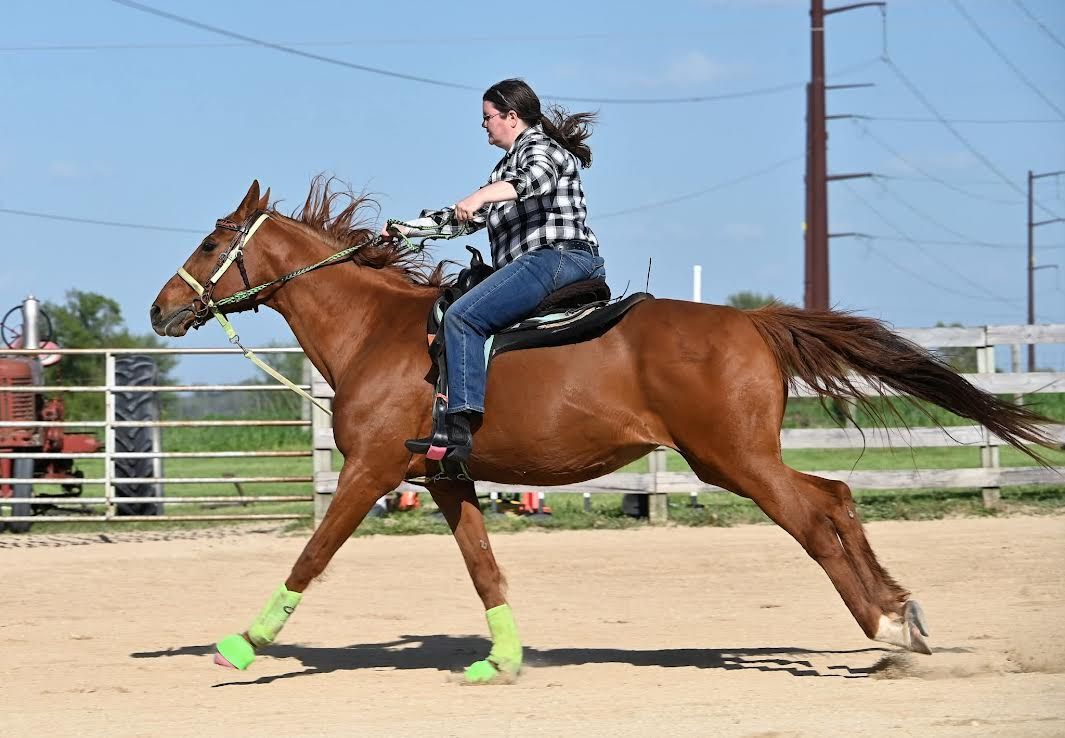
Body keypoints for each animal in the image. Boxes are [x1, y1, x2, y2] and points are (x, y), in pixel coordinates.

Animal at [150, 178, 1057, 684]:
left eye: (212, 239)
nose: (161, 308)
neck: (380, 333)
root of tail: (752, 324)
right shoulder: (445, 475)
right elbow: (484, 569)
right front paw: (503, 661)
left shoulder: (370, 470)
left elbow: (313, 553)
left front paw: (242, 645)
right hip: (735, 459)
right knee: (834, 497)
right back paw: (902, 619)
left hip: (732, 459)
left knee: (817, 510)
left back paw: (887, 626)